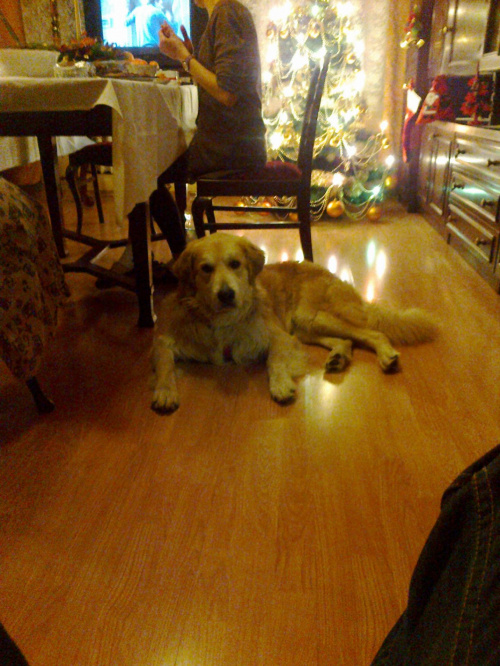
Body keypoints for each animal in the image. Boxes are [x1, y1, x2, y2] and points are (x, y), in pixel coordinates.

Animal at [151, 233, 438, 413]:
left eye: (235, 264)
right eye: (205, 269)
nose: (226, 294)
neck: (225, 322)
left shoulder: (279, 336)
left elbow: (274, 361)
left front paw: (280, 385)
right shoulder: (166, 341)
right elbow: (164, 363)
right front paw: (164, 392)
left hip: (311, 317)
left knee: (372, 334)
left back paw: (387, 356)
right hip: (305, 327)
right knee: (347, 339)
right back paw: (338, 357)